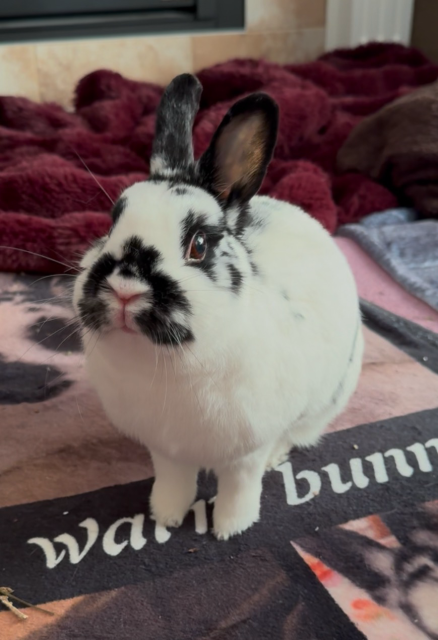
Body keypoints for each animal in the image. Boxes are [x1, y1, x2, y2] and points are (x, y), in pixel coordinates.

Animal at [73, 73, 363, 540]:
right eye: (110, 225)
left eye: (199, 245)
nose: (124, 289)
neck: (163, 366)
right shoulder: (166, 449)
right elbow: (174, 481)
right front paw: (166, 517)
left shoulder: (246, 450)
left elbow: (240, 486)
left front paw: (230, 529)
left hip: (323, 403)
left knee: (294, 436)